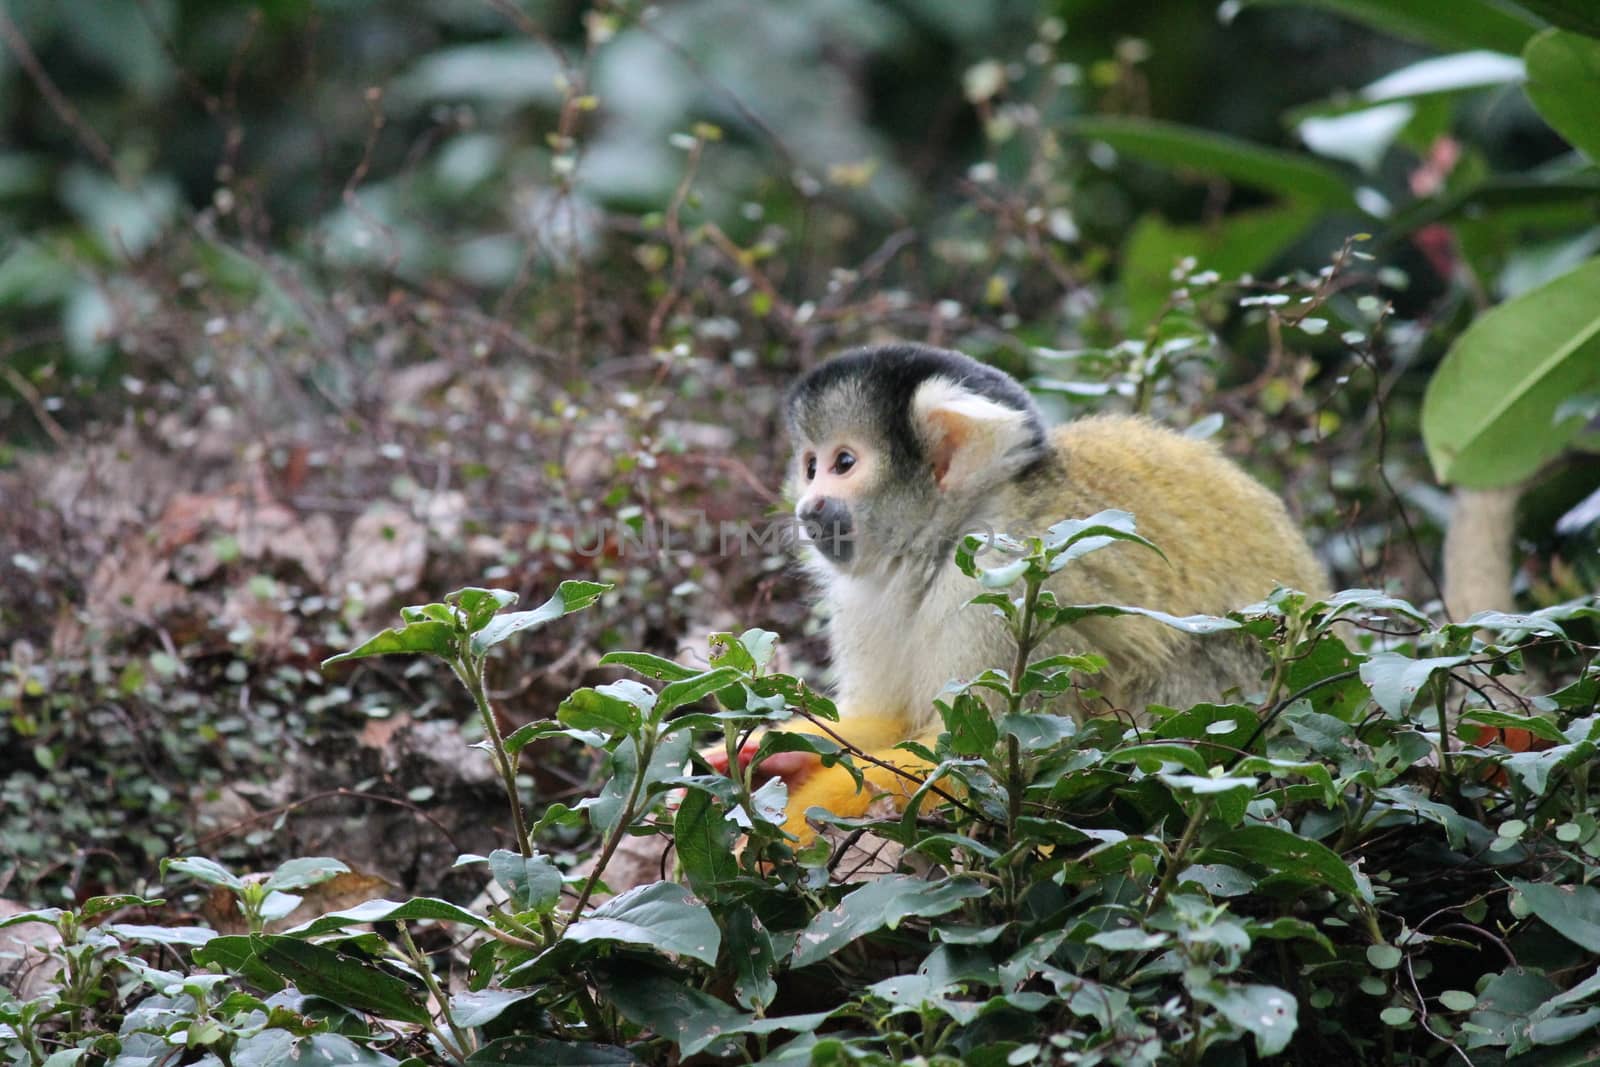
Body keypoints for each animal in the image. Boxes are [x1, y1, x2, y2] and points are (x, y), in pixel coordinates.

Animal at [713, 347, 1324, 838]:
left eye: (843, 463)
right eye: (810, 466)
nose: (808, 506)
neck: (949, 534)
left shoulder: (1000, 579)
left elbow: (978, 765)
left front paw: (785, 824)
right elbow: (893, 721)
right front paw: (776, 752)